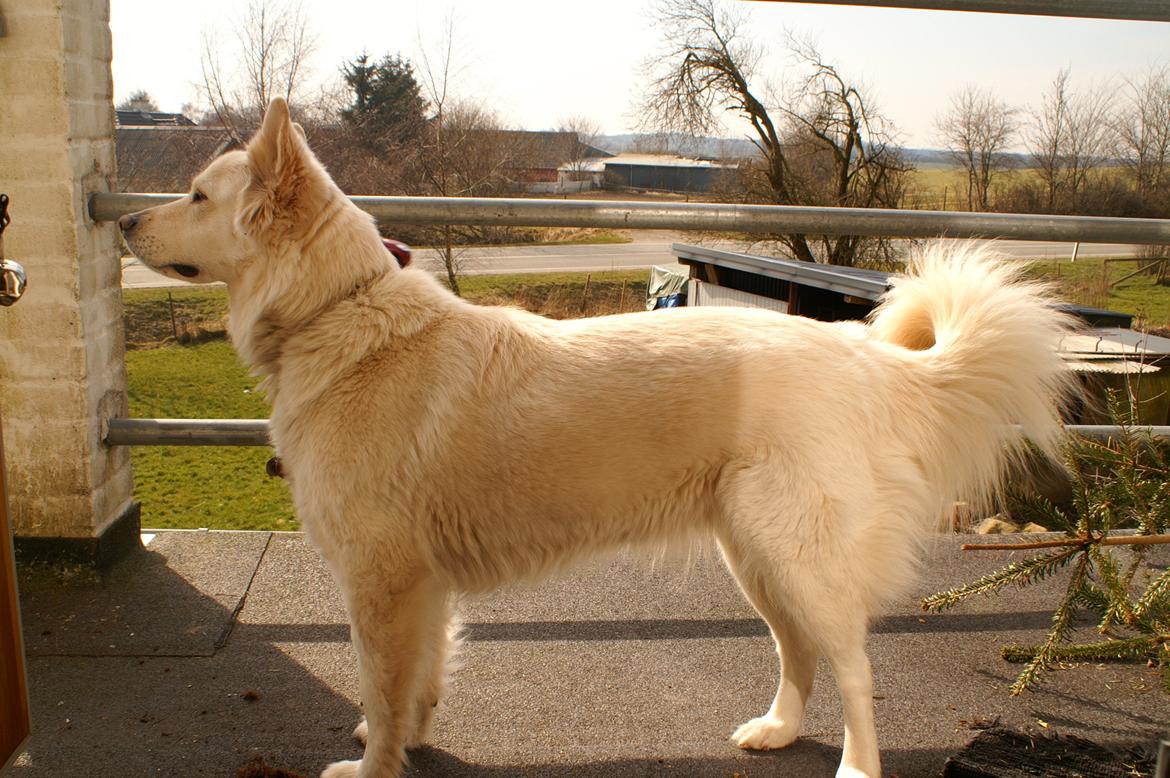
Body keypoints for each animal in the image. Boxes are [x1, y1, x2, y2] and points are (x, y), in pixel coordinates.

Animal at [123, 98, 1071, 776]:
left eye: (198, 194)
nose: (124, 223)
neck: (338, 311)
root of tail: (858, 352)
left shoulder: (380, 581)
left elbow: (386, 694)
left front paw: (375, 766)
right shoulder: (418, 586)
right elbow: (417, 683)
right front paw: (410, 741)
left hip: (797, 557)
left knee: (857, 669)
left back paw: (854, 767)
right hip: (755, 558)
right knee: (799, 651)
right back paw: (777, 729)